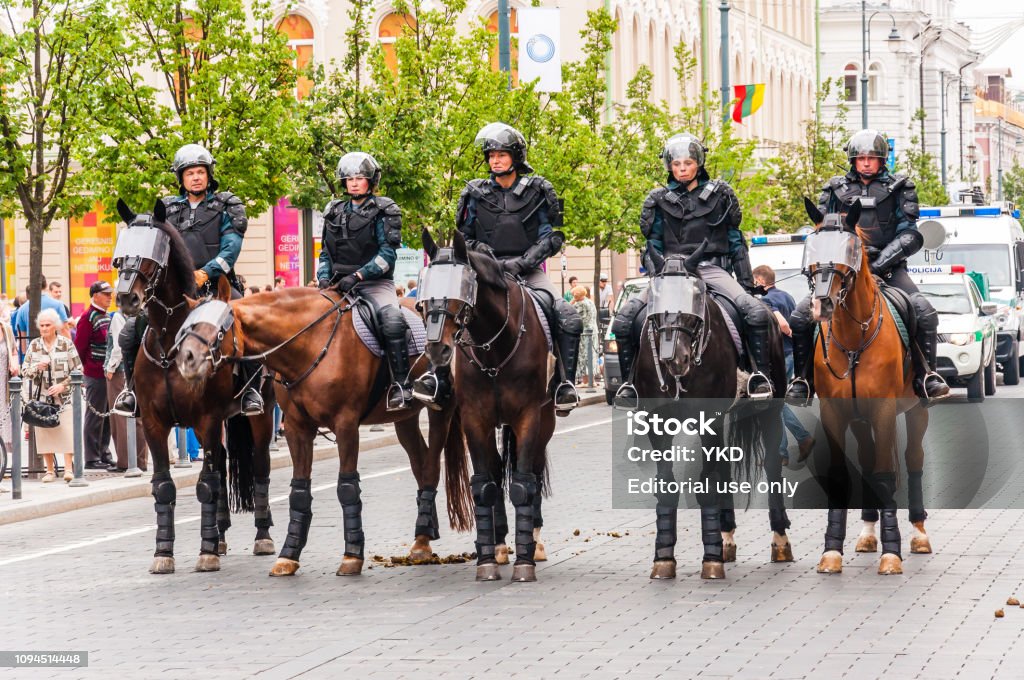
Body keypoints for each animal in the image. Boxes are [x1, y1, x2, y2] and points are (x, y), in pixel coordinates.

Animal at [113, 199, 276, 577]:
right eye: (120, 254)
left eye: (152, 255)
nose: (127, 298)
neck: (170, 339)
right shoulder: (155, 425)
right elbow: (164, 487)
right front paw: (164, 552)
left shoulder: (207, 419)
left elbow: (206, 485)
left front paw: (206, 552)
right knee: (225, 462)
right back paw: (220, 535)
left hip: (259, 417)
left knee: (259, 466)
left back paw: (261, 535)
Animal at [175, 284, 475, 577]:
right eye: (186, 326)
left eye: (219, 329)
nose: (186, 359)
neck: (309, 344)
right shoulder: (296, 429)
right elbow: (299, 492)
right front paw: (289, 555)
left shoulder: (346, 425)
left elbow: (347, 487)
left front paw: (352, 555)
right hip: (405, 419)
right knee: (420, 463)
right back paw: (424, 535)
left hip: (440, 411)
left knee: (431, 466)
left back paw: (422, 536)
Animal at [413, 231, 561, 581]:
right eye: (423, 298)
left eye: (461, 292)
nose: (437, 349)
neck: (495, 347)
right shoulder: (474, 419)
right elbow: (484, 486)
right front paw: (486, 561)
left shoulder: (528, 416)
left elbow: (522, 485)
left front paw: (525, 561)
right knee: (494, 470)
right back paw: (500, 543)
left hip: (544, 421)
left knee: (533, 472)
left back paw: (534, 540)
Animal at [618, 244, 786, 577]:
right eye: (656, 299)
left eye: (695, 298)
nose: (675, 358)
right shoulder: (657, 422)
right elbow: (667, 485)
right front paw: (664, 557)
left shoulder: (709, 417)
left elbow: (708, 483)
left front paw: (711, 559)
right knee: (723, 468)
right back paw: (726, 535)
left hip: (770, 410)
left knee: (772, 464)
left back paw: (780, 541)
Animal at [802, 199, 933, 577]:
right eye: (812, 246)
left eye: (850, 249)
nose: (822, 304)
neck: (852, 339)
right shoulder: (834, 411)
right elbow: (841, 474)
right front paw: (832, 551)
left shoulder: (884, 409)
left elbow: (886, 473)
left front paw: (892, 554)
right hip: (860, 421)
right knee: (867, 456)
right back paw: (868, 532)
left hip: (916, 410)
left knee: (913, 458)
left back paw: (919, 534)